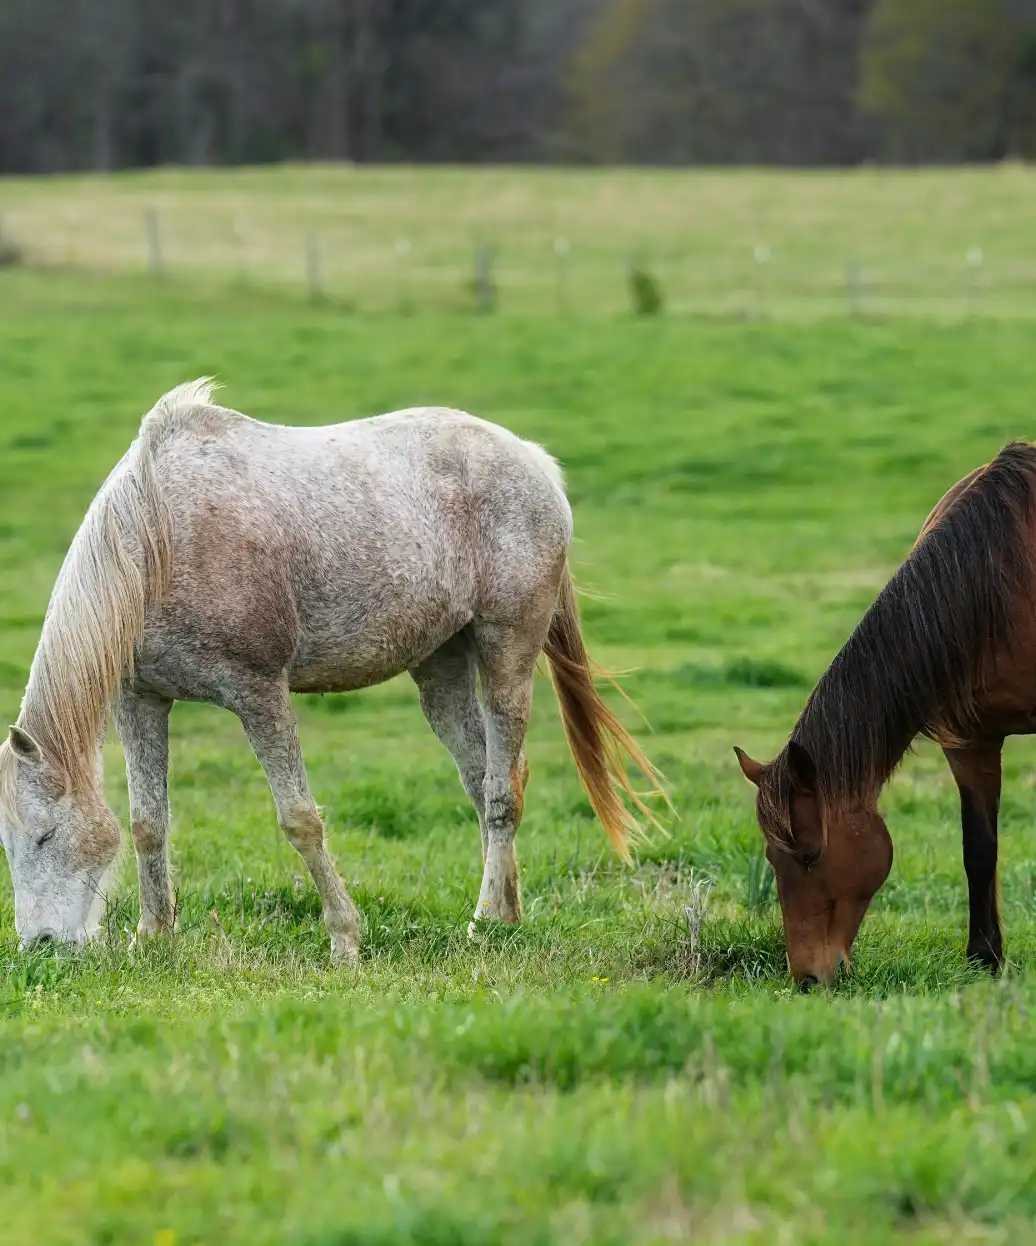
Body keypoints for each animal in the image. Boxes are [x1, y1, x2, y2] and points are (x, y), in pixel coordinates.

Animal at [0, 380, 662, 961]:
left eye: (44, 836)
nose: (41, 946)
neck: (157, 542)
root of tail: (534, 462)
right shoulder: (141, 701)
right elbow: (146, 824)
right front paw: (153, 937)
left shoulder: (258, 691)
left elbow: (299, 820)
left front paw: (345, 938)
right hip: (440, 668)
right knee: (481, 782)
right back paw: (503, 913)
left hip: (509, 650)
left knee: (503, 790)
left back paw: (481, 924)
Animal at [735, 441, 1036, 988]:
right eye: (771, 857)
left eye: (810, 855)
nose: (807, 979)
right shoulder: (970, 743)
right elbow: (979, 851)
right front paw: (984, 958)